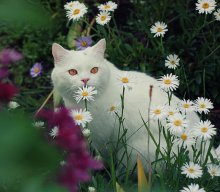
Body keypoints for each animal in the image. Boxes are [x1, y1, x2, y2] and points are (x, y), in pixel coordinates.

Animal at [50, 38, 219, 171]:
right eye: (72, 72)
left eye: (94, 70)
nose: (85, 80)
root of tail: (206, 153)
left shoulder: (103, 140)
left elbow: (101, 157)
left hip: (136, 153)